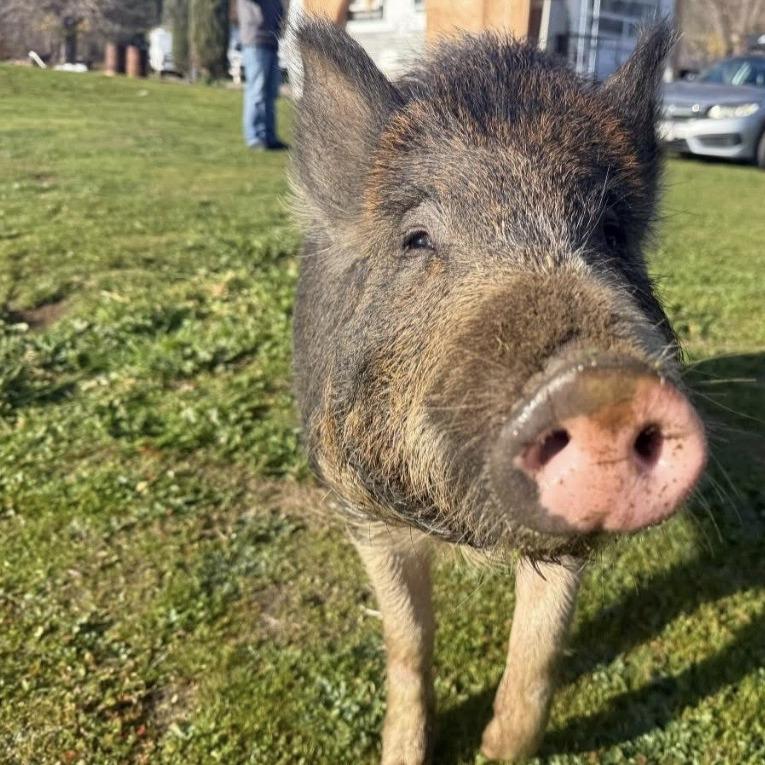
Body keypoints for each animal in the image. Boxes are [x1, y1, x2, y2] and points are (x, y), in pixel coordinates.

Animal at [290, 17, 706, 764]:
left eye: (610, 233)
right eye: (416, 238)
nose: (603, 384)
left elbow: (539, 645)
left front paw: (495, 750)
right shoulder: (360, 508)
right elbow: (407, 637)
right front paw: (404, 751)